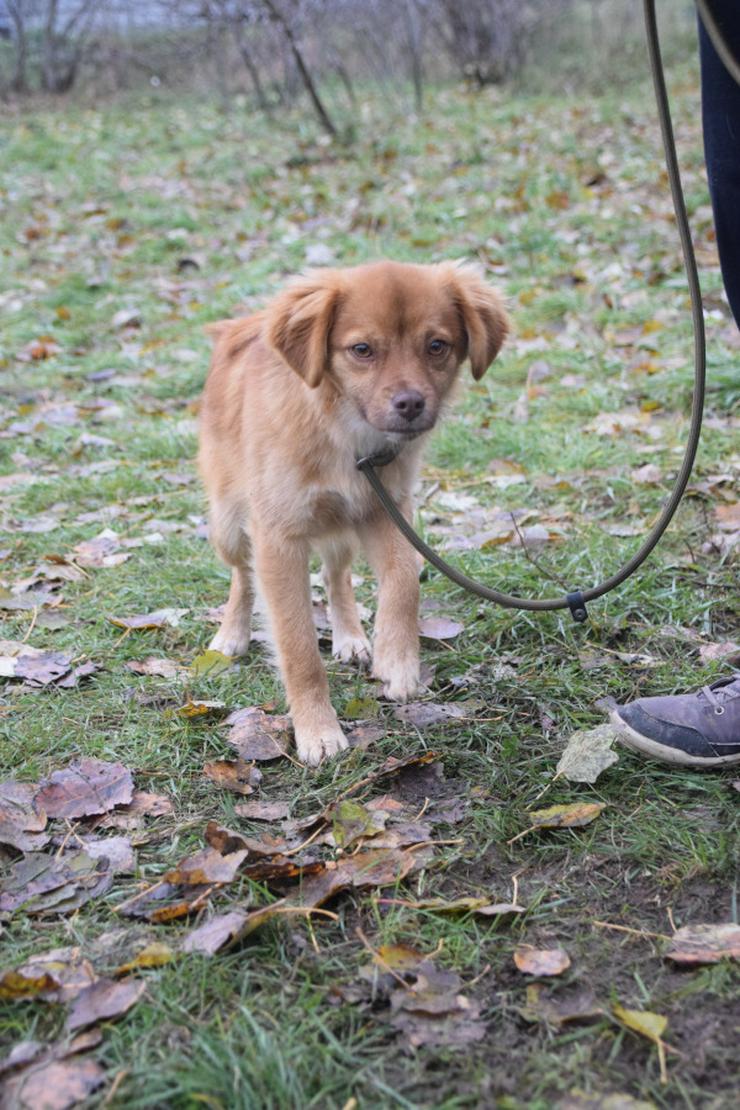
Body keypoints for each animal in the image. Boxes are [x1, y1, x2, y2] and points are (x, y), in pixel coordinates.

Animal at [198, 259, 510, 763]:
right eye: (362, 350)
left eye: (437, 345)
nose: (410, 404)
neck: (345, 434)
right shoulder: (278, 539)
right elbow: (298, 647)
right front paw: (318, 732)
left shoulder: (385, 509)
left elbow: (404, 578)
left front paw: (397, 660)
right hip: (228, 522)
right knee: (242, 575)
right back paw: (232, 634)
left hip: (340, 525)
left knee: (335, 575)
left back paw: (351, 637)